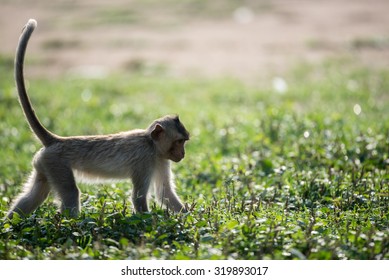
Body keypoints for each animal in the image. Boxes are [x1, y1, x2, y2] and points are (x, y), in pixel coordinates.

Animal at [5, 19, 189, 219]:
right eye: (179, 142)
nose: (183, 154)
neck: (152, 144)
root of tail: (55, 141)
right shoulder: (144, 160)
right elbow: (139, 198)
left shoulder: (161, 159)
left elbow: (164, 193)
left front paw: (190, 216)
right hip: (56, 164)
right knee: (70, 192)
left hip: (44, 163)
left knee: (35, 193)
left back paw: (10, 224)